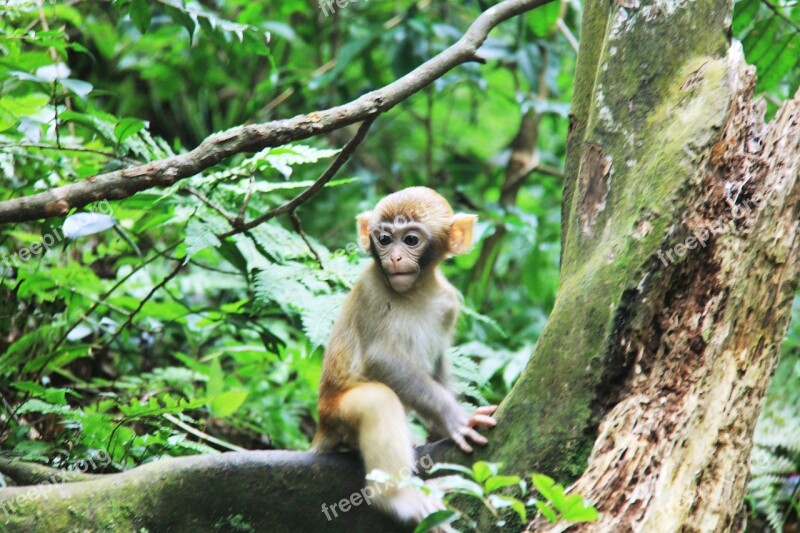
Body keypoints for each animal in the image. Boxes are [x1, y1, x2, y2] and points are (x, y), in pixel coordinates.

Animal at [310, 186, 494, 524]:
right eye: (384, 239)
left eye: (410, 240)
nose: (394, 257)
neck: (416, 292)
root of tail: (320, 429)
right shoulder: (370, 287)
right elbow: (381, 358)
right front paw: (456, 417)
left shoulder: (449, 302)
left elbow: (438, 363)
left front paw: (439, 430)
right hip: (334, 413)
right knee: (378, 400)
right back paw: (397, 497)